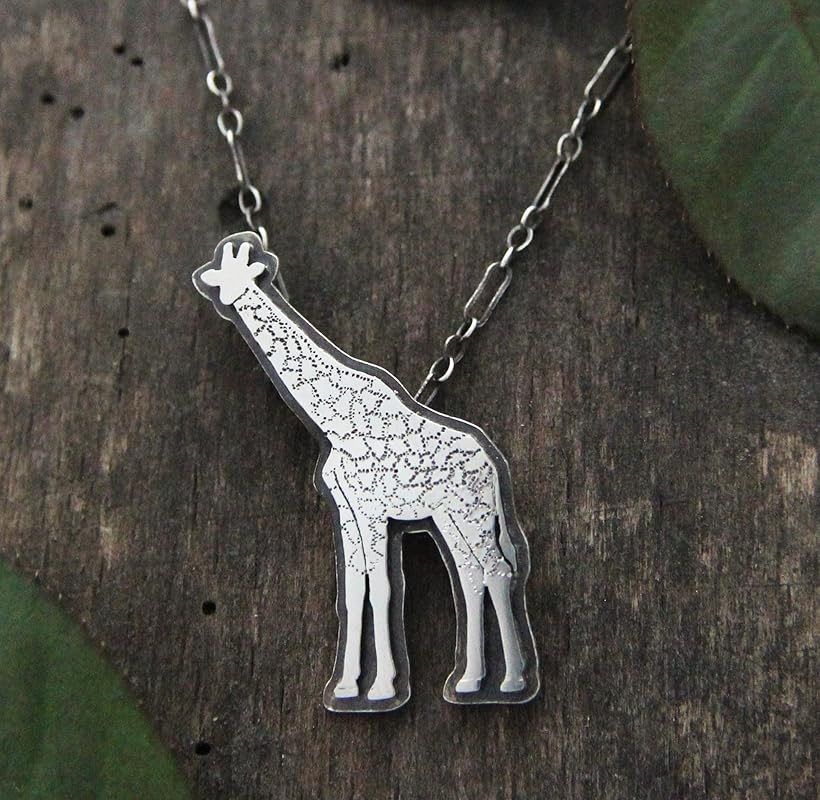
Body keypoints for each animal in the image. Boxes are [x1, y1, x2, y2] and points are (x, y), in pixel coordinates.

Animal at [193, 232, 539, 711]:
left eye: (245, 275)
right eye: (220, 278)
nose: (227, 300)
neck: (335, 419)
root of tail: (491, 464)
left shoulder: (373, 510)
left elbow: (382, 588)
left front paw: (381, 687)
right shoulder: (347, 511)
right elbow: (353, 591)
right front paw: (346, 685)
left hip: (473, 515)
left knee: (499, 571)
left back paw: (511, 681)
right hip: (450, 519)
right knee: (472, 576)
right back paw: (471, 680)